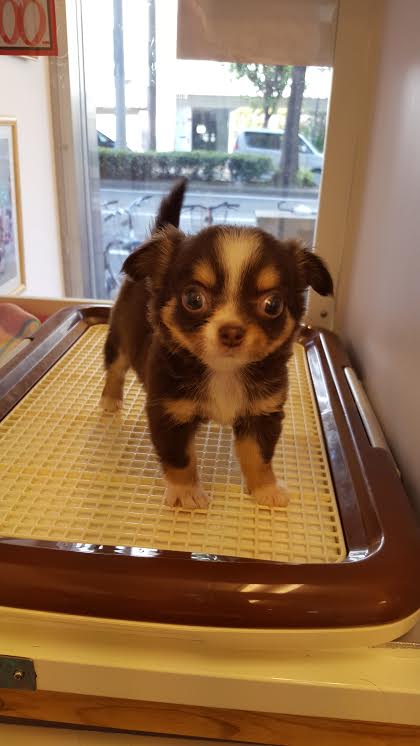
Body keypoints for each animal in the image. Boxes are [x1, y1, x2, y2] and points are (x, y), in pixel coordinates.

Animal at [101, 179, 333, 510]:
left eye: (272, 305)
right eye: (193, 299)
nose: (232, 331)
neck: (223, 372)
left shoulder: (261, 413)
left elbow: (258, 456)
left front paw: (265, 488)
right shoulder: (168, 414)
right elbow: (180, 459)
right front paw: (185, 491)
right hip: (119, 338)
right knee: (115, 368)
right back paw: (110, 398)